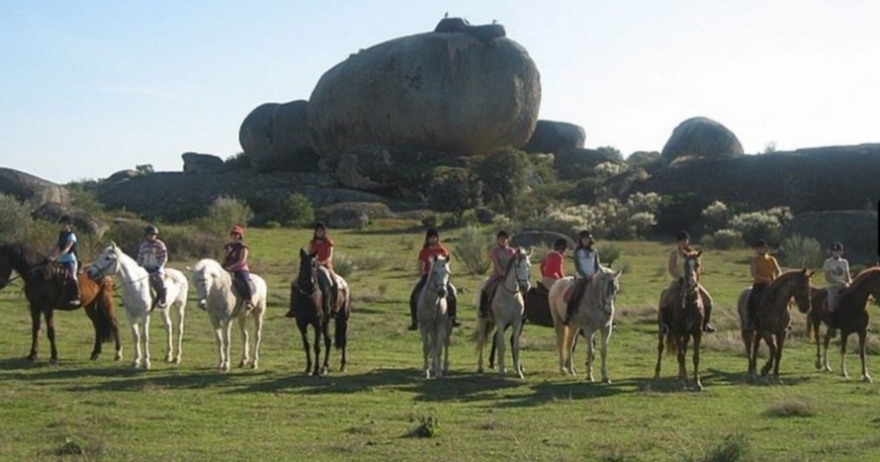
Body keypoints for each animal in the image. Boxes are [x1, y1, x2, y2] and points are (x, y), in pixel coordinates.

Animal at [474, 247, 528, 378]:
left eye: (528, 265)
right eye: (518, 266)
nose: (525, 286)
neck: (510, 295)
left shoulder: (516, 322)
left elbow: (515, 346)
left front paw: (518, 372)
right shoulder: (501, 322)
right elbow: (502, 345)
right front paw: (502, 370)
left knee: (496, 339)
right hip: (482, 319)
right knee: (481, 339)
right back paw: (480, 367)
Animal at [652, 249, 708, 390]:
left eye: (697, 264)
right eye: (686, 265)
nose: (691, 284)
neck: (689, 304)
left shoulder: (697, 333)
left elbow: (694, 357)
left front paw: (697, 382)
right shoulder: (677, 332)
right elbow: (681, 356)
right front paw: (682, 383)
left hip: (686, 335)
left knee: (682, 349)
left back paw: (683, 376)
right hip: (662, 329)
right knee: (661, 348)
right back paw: (658, 375)